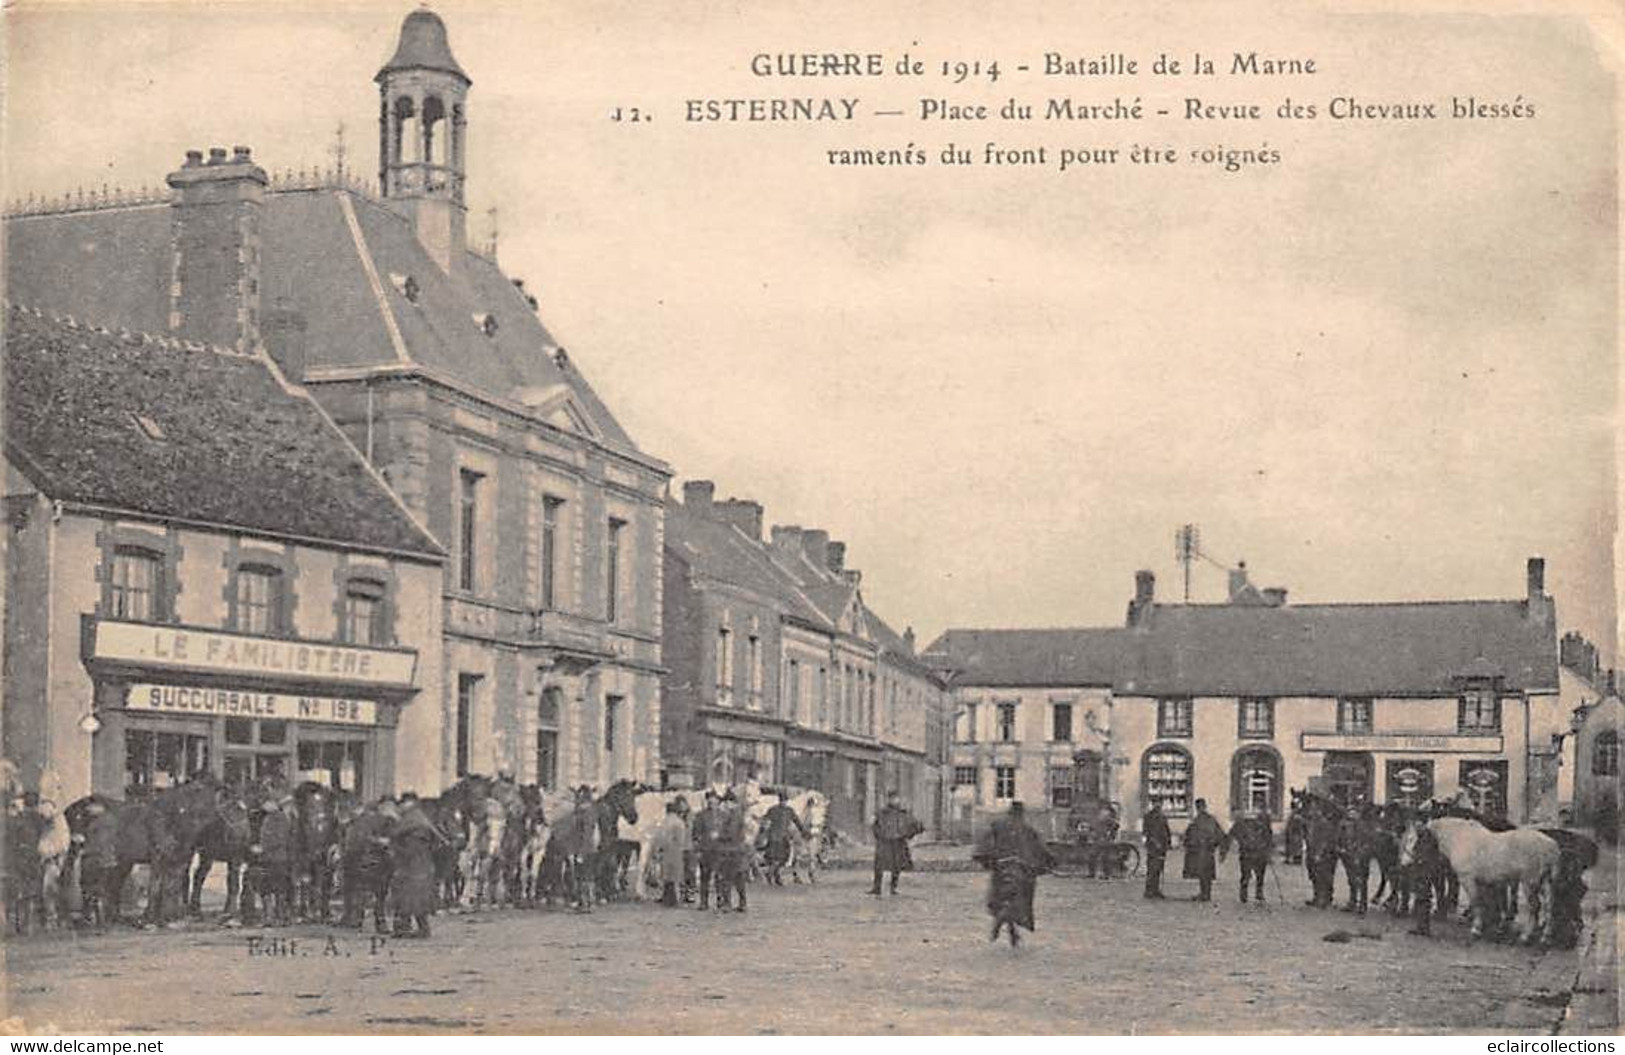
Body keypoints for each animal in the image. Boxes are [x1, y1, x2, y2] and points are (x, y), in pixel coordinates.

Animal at [1436, 809, 1560, 942]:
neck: (1461, 836)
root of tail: (1551, 846)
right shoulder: (1482, 882)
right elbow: (1483, 902)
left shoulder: (1468, 879)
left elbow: (1476, 902)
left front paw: (1476, 929)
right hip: (1546, 882)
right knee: (1549, 906)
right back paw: (1545, 936)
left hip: (1530, 883)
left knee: (1534, 906)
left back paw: (1525, 936)